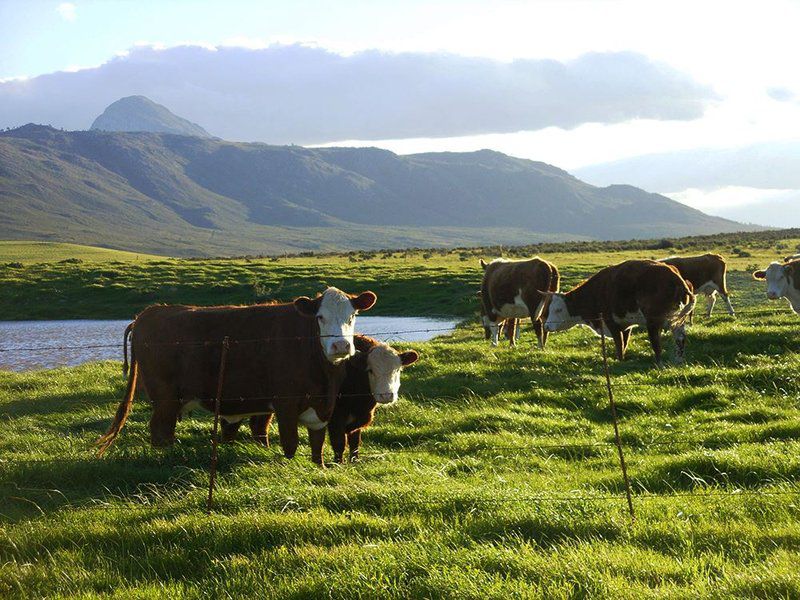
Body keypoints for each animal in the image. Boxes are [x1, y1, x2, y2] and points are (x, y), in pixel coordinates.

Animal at [95, 288, 376, 466]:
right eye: (320, 317)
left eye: (353, 316)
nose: (341, 346)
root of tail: (149, 313)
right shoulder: (285, 402)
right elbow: (290, 444)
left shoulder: (319, 407)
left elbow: (315, 445)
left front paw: (321, 467)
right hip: (165, 398)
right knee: (161, 430)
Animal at [230, 336, 422, 462]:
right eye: (370, 370)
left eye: (398, 370)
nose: (387, 395)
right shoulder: (336, 416)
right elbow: (339, 443)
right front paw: (338, 464)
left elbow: (355, 443)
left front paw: (354, 462)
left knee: (258, 425)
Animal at [544, 258, 692, 364]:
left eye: (558, 309)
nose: (546, 326)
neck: (596, 292)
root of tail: (676, 279)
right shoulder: (625, 325)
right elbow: (624, 344)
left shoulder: (612, 323)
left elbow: (619, 345)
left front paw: (620, 361)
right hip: (678, 321)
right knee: (680, 339)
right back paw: (679, 360)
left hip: (653, 322)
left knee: (657, 344)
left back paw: (659, 363)